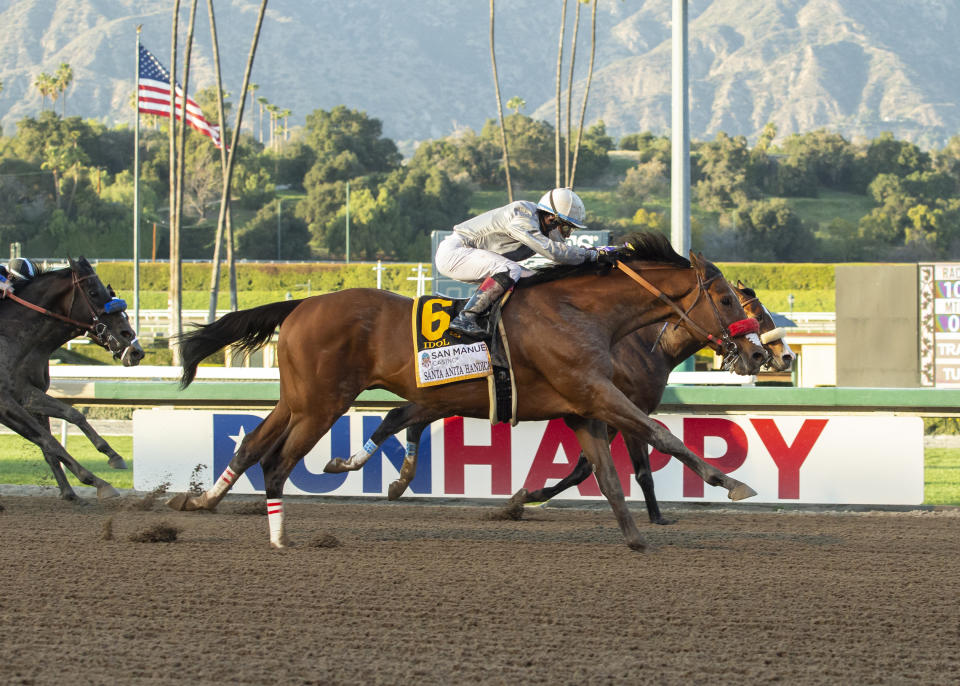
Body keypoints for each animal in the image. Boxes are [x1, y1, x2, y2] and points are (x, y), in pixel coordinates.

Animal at [0, 258, 144, 500]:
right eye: (94, 293)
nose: (136, 350)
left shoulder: (25, 393)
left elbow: (70, 416)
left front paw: (110, 457)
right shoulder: (6, 403)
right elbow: (48, 440)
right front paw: (97, 482)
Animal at [352, 280, 796, 520]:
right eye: (756, 313)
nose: (775, 356)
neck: (642, 344)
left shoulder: (610, 412)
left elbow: (589, 467)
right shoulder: (620, 408)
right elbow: (631, 469)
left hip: (443, 396)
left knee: (405, 417)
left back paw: (398, 478)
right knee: (402, 418)